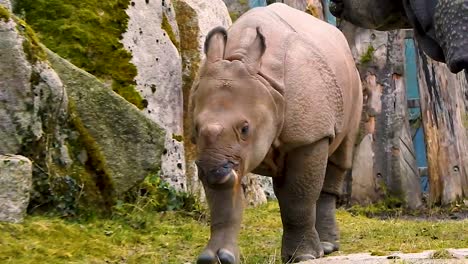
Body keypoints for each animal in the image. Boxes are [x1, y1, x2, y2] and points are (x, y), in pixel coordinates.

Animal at [189, 2, 362, 264]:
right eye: (196, 128)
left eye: (245, 129)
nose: (215, 171)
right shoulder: (223, 151)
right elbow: (224, 199)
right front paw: (217, 258)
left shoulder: (308, 137)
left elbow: (299, 196)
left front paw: (304, 256)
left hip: (354, 84)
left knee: (339, 157)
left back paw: (328, 247)